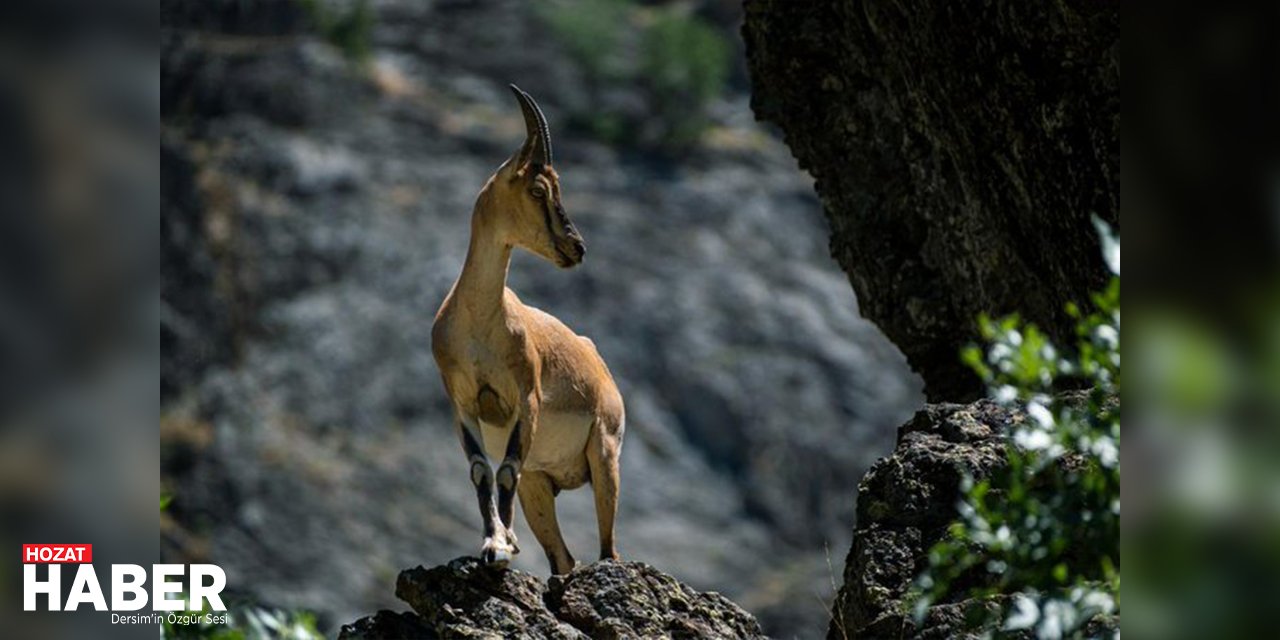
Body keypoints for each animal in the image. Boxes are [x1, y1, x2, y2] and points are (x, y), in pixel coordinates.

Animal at [432, 86, 627, 576]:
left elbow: (505, 469)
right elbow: (482, 470)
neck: (483, 322)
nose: (577, 247)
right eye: (539, 189)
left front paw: (504, 546)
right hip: (541, 484)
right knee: (564, 558)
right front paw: (493, 544)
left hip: (605, 455)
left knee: (609, 549)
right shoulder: (462, 402)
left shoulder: (528, 397)